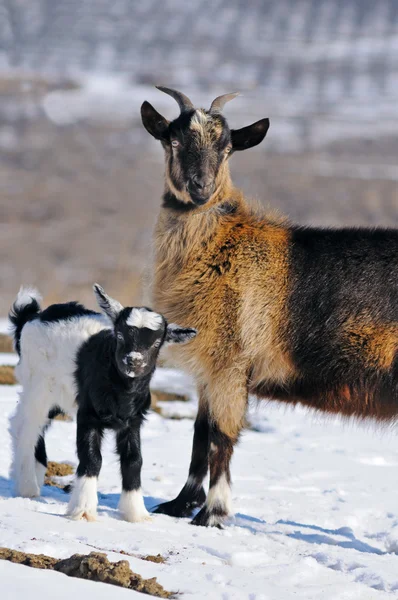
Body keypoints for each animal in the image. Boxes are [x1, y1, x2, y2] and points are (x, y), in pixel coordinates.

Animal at [141, 86, 398, 528]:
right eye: (173, 140)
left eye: (227, 147)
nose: (200, 188)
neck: (220, 245)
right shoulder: (209, 370)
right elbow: (199, 434)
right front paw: (179, 505)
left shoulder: (231, 361)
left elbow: (221, 438)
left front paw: (212, 515)